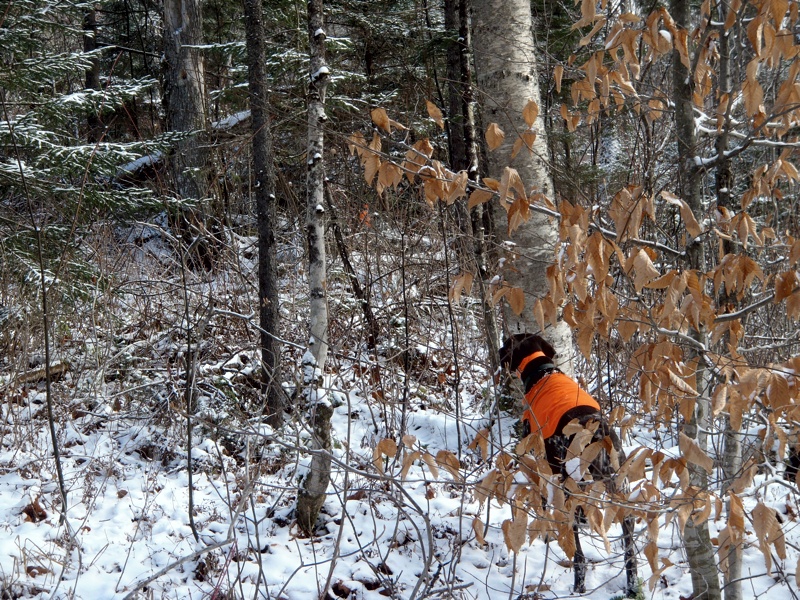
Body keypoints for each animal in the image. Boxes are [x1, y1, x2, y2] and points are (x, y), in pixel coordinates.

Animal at [500, 332, 636, 596]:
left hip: (569, 490)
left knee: (579, 555)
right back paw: (633, 586)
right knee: (630, 551)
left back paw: (579, 584)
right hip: (620, 493)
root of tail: (598, 433)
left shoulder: (540, 459)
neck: (542, 371)